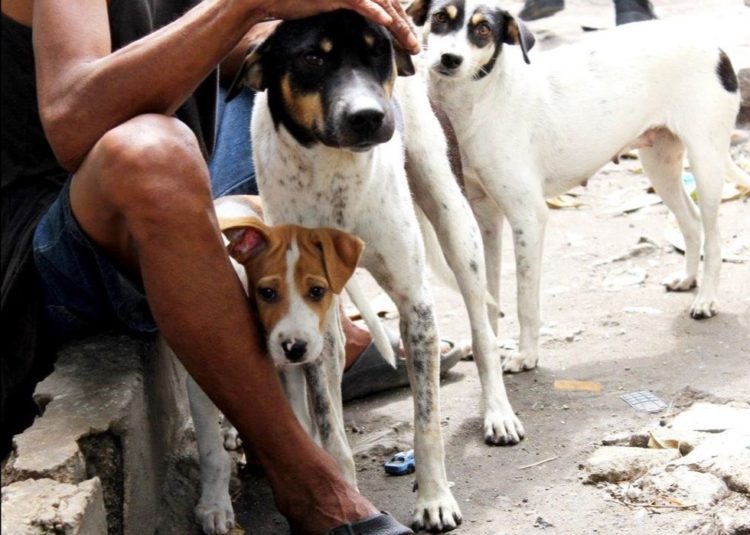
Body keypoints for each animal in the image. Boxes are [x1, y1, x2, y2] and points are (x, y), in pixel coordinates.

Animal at [187, 195, 364, 532]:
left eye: (317, 291)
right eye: (267, 292)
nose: (295, 348)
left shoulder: (296, 370)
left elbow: (301, 424)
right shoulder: (198, 376)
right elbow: (211, 451)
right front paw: (215, 506)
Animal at [412, 0, 750, 374]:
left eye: (483, 29)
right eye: (439, 18)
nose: (449, 59)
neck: (479, 103)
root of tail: (714, 46)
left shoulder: (529, 217)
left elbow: (524, 298)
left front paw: (526, 355)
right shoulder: (485, 217)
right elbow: (489, 292)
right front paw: (485, 343)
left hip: (706, 161)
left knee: (715, 236)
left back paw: (706, 299)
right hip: (658, 164)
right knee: (690, 221)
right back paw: (688, 278)